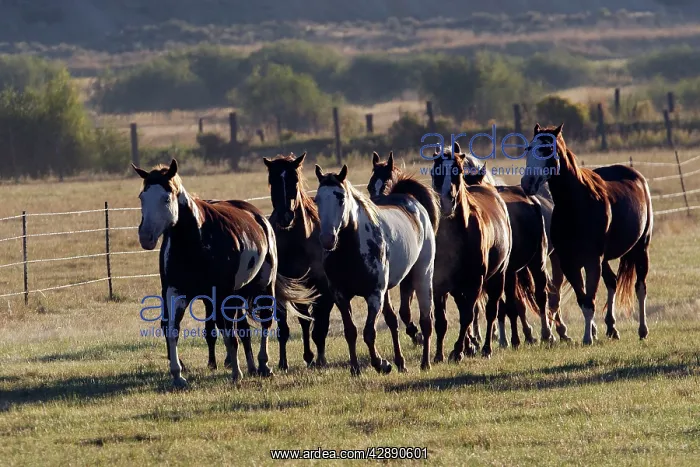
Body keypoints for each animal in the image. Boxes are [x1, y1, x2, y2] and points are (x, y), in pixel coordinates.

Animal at [132, 159, 316, 387]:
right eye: (142, 197)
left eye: (166, 198)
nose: (146, 236)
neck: (195, 240)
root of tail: (259, 217)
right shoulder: (174, 292)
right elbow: (172, 329)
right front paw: (177, 375)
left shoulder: (220, 295)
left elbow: (229, 333)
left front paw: (237, 373)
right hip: (237, 294)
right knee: (244, 329)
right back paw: (252, 366)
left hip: (265, 286)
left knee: (265, 321)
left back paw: (263, 365)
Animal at [263, 152, 335, 368]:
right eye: (272, 181)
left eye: (294, 179)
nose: (286, 216)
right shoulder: (282, 289)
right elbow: (285, 328)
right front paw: (283, 363)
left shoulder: (323, 288)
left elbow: (320, 327)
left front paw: (321, 359)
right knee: (305, 321)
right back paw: (308, 356)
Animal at [314, 163, 437, 375]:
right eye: (317, 199)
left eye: (341, 197)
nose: (328, 239)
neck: (351, 250)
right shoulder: (340, 296)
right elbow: (351, 331)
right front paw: (355, 369)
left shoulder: (374, 295)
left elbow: (369, 332)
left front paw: (381, 363)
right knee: (393, 321)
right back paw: (401, 362)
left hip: (423, 275)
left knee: (426, 320)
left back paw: (425, 363)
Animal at [521, 123, 653, 344]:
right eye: (529, 148)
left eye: (547, 150)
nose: (527, 183)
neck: (576, 204)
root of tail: (637, 177)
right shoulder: (569, 263)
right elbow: (583, 299)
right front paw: (590, 333)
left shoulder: (591, 261)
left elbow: (589, 300)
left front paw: (588, 337)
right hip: (605, 259)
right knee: (612, 282)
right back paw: (612, 328)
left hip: (641, 248)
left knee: (640, 287)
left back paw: (643, 330)